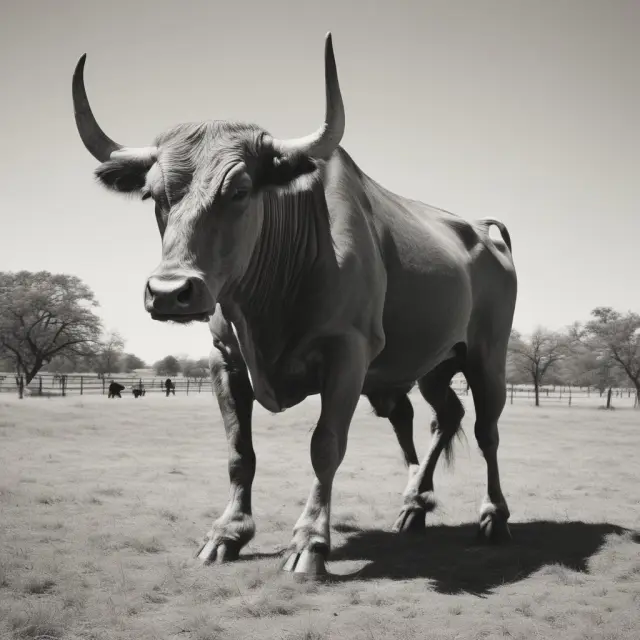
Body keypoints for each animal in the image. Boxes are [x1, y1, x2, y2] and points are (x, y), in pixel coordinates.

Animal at [72, 33, 517, 579]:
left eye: (240, 190)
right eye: (154, 195)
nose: (170, 291)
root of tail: (481, 228)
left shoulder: (347, 354)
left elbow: (325, 445)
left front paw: (309, 541)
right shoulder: (225, 360)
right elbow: (239, 452)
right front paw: (228, 532)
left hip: (487, 357)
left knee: (486, 431)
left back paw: (493, 517)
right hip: (432, 363)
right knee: (442, 417)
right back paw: (415, 506)